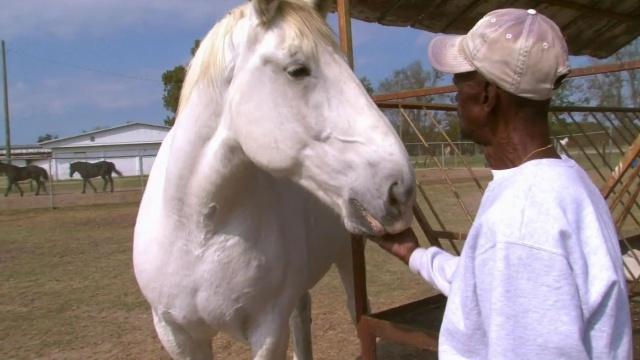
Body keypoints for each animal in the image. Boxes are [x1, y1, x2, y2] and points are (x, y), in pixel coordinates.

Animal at [132, 0, 418, 360]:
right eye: (297, 70)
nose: (401, 190)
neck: (197, 229)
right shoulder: (175, 333)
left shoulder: (268, 331)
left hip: (346, 261)